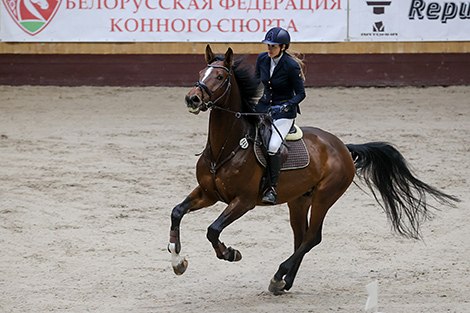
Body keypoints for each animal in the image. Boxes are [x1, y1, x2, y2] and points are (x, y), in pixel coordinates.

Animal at [168, 44, 458, 292]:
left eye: (219, 77)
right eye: (200, 73)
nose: (192, 99)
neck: (225, 147)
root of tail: (342, 147)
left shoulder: (243, 201)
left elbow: (213, 230)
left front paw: (230, 253)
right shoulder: (209, 193)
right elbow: (177, 212)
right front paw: (177, 261)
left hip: (325, 196)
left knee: (312, 237)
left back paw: (279, 276)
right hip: (299, 200)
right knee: (301, 236)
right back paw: (284, 281)